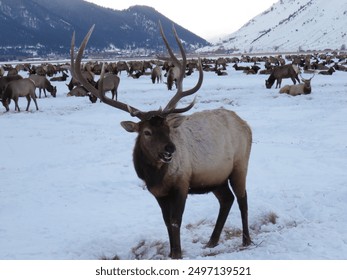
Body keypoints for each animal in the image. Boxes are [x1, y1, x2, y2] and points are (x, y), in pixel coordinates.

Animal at [70, 23, 254, 258]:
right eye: (147, 132)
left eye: (167, 128)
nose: (170, 150)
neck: (155, 176)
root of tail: (246, 125)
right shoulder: (157, 192)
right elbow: (166, 222)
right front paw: (171, 253)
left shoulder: (182, 184)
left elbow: (176, 222)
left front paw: (177, 253)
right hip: (215, 177)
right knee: (227, 199)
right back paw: (212, 241)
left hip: (240, 165)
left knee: (242, 199)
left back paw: (246, 240)